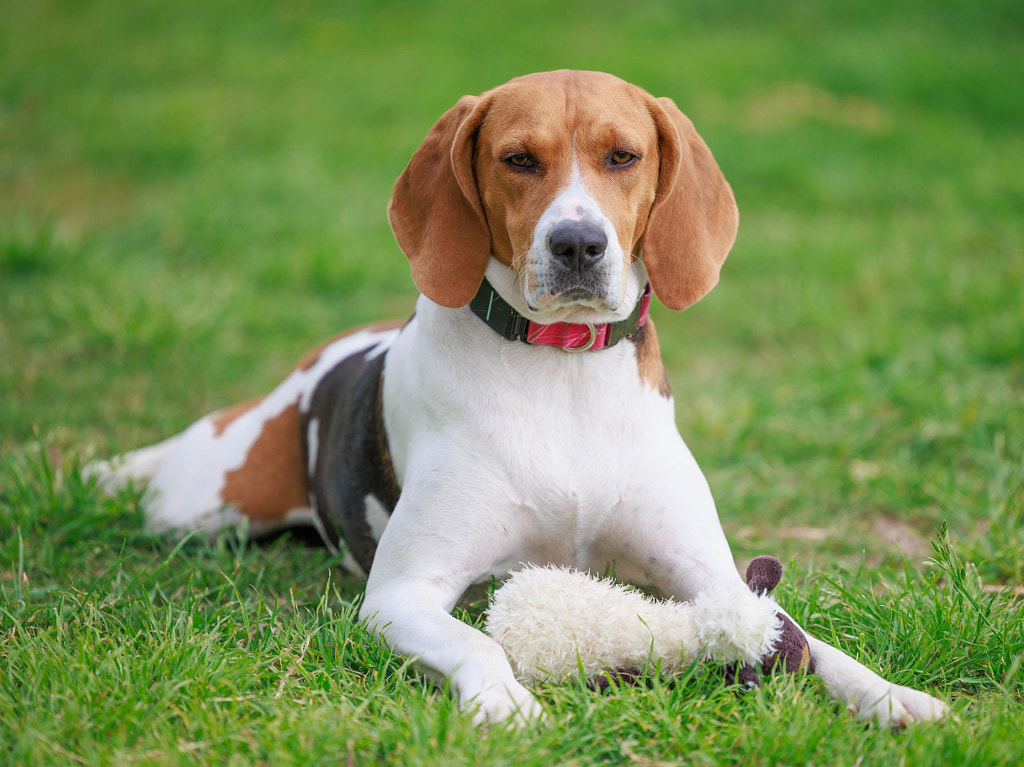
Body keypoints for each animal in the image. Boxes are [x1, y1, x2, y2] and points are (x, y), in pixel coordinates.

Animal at [96, 70, 950, 725]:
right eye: (517, 159)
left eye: (623, 155)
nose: (578, 244)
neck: (561, 368)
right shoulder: (402, 593)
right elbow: (480, 638)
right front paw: (507, 702)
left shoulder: (711, 575)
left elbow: (803, 638)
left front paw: (892, 695)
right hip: (204, 502)